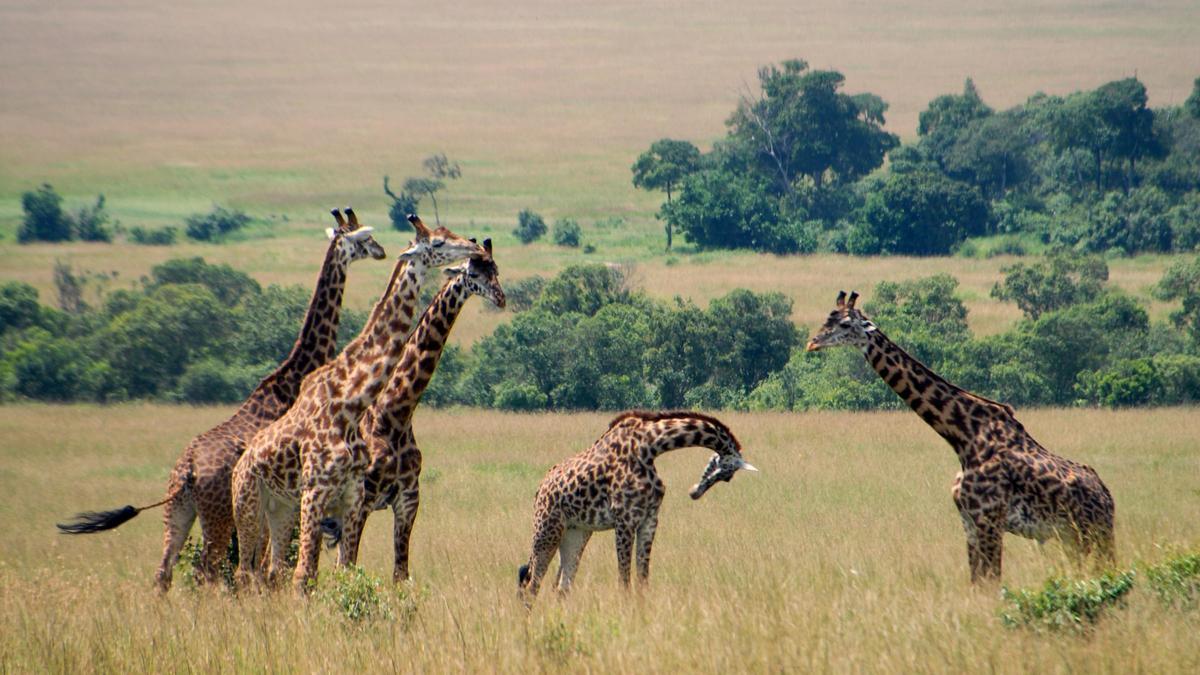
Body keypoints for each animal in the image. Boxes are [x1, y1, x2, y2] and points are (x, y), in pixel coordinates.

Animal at [56, 208, 384, 588]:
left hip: (180, 510)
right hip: (218, 514)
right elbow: (267, 567)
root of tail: (186, 472)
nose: (382, 251)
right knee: (206, 569)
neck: (291, 378)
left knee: (164, 570)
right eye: (364, 238)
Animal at [230, 212, 482, 590]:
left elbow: (348, 571)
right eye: (438, 242)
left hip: (280, 510)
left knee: (270, 571)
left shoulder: (353, 496)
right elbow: (305, 576)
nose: (475, 247)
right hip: (249, 505)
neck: (350, 403)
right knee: (246, 572)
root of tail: (239, 465)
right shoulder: (318, 492)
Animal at [338, 237, 506, 578]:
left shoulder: (408, 500)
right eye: (473, 274)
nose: (501, 297)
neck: (396, 415)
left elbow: (400, 574)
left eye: (496, 269)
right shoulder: (362, 501)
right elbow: (351, 566)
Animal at [513, 408, 748, 600]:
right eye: (726, 474)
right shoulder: (624, 520)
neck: (650, 447)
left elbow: (643, 581)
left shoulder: (649, 520)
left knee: (562, 588)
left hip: (576, 533)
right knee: (531, 585)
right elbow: (624, 581)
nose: (695, 493)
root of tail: (540, 489)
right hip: (547, 529)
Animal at [801, 291, 1118, 581]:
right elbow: (978, 583)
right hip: (1072, 536)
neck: (963, 436)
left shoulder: (989, 519)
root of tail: (1107, 496)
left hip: (1091, 533)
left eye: (844, 324)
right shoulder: (969, 521)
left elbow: (992, 582)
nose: (811, 343)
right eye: (826, 319)